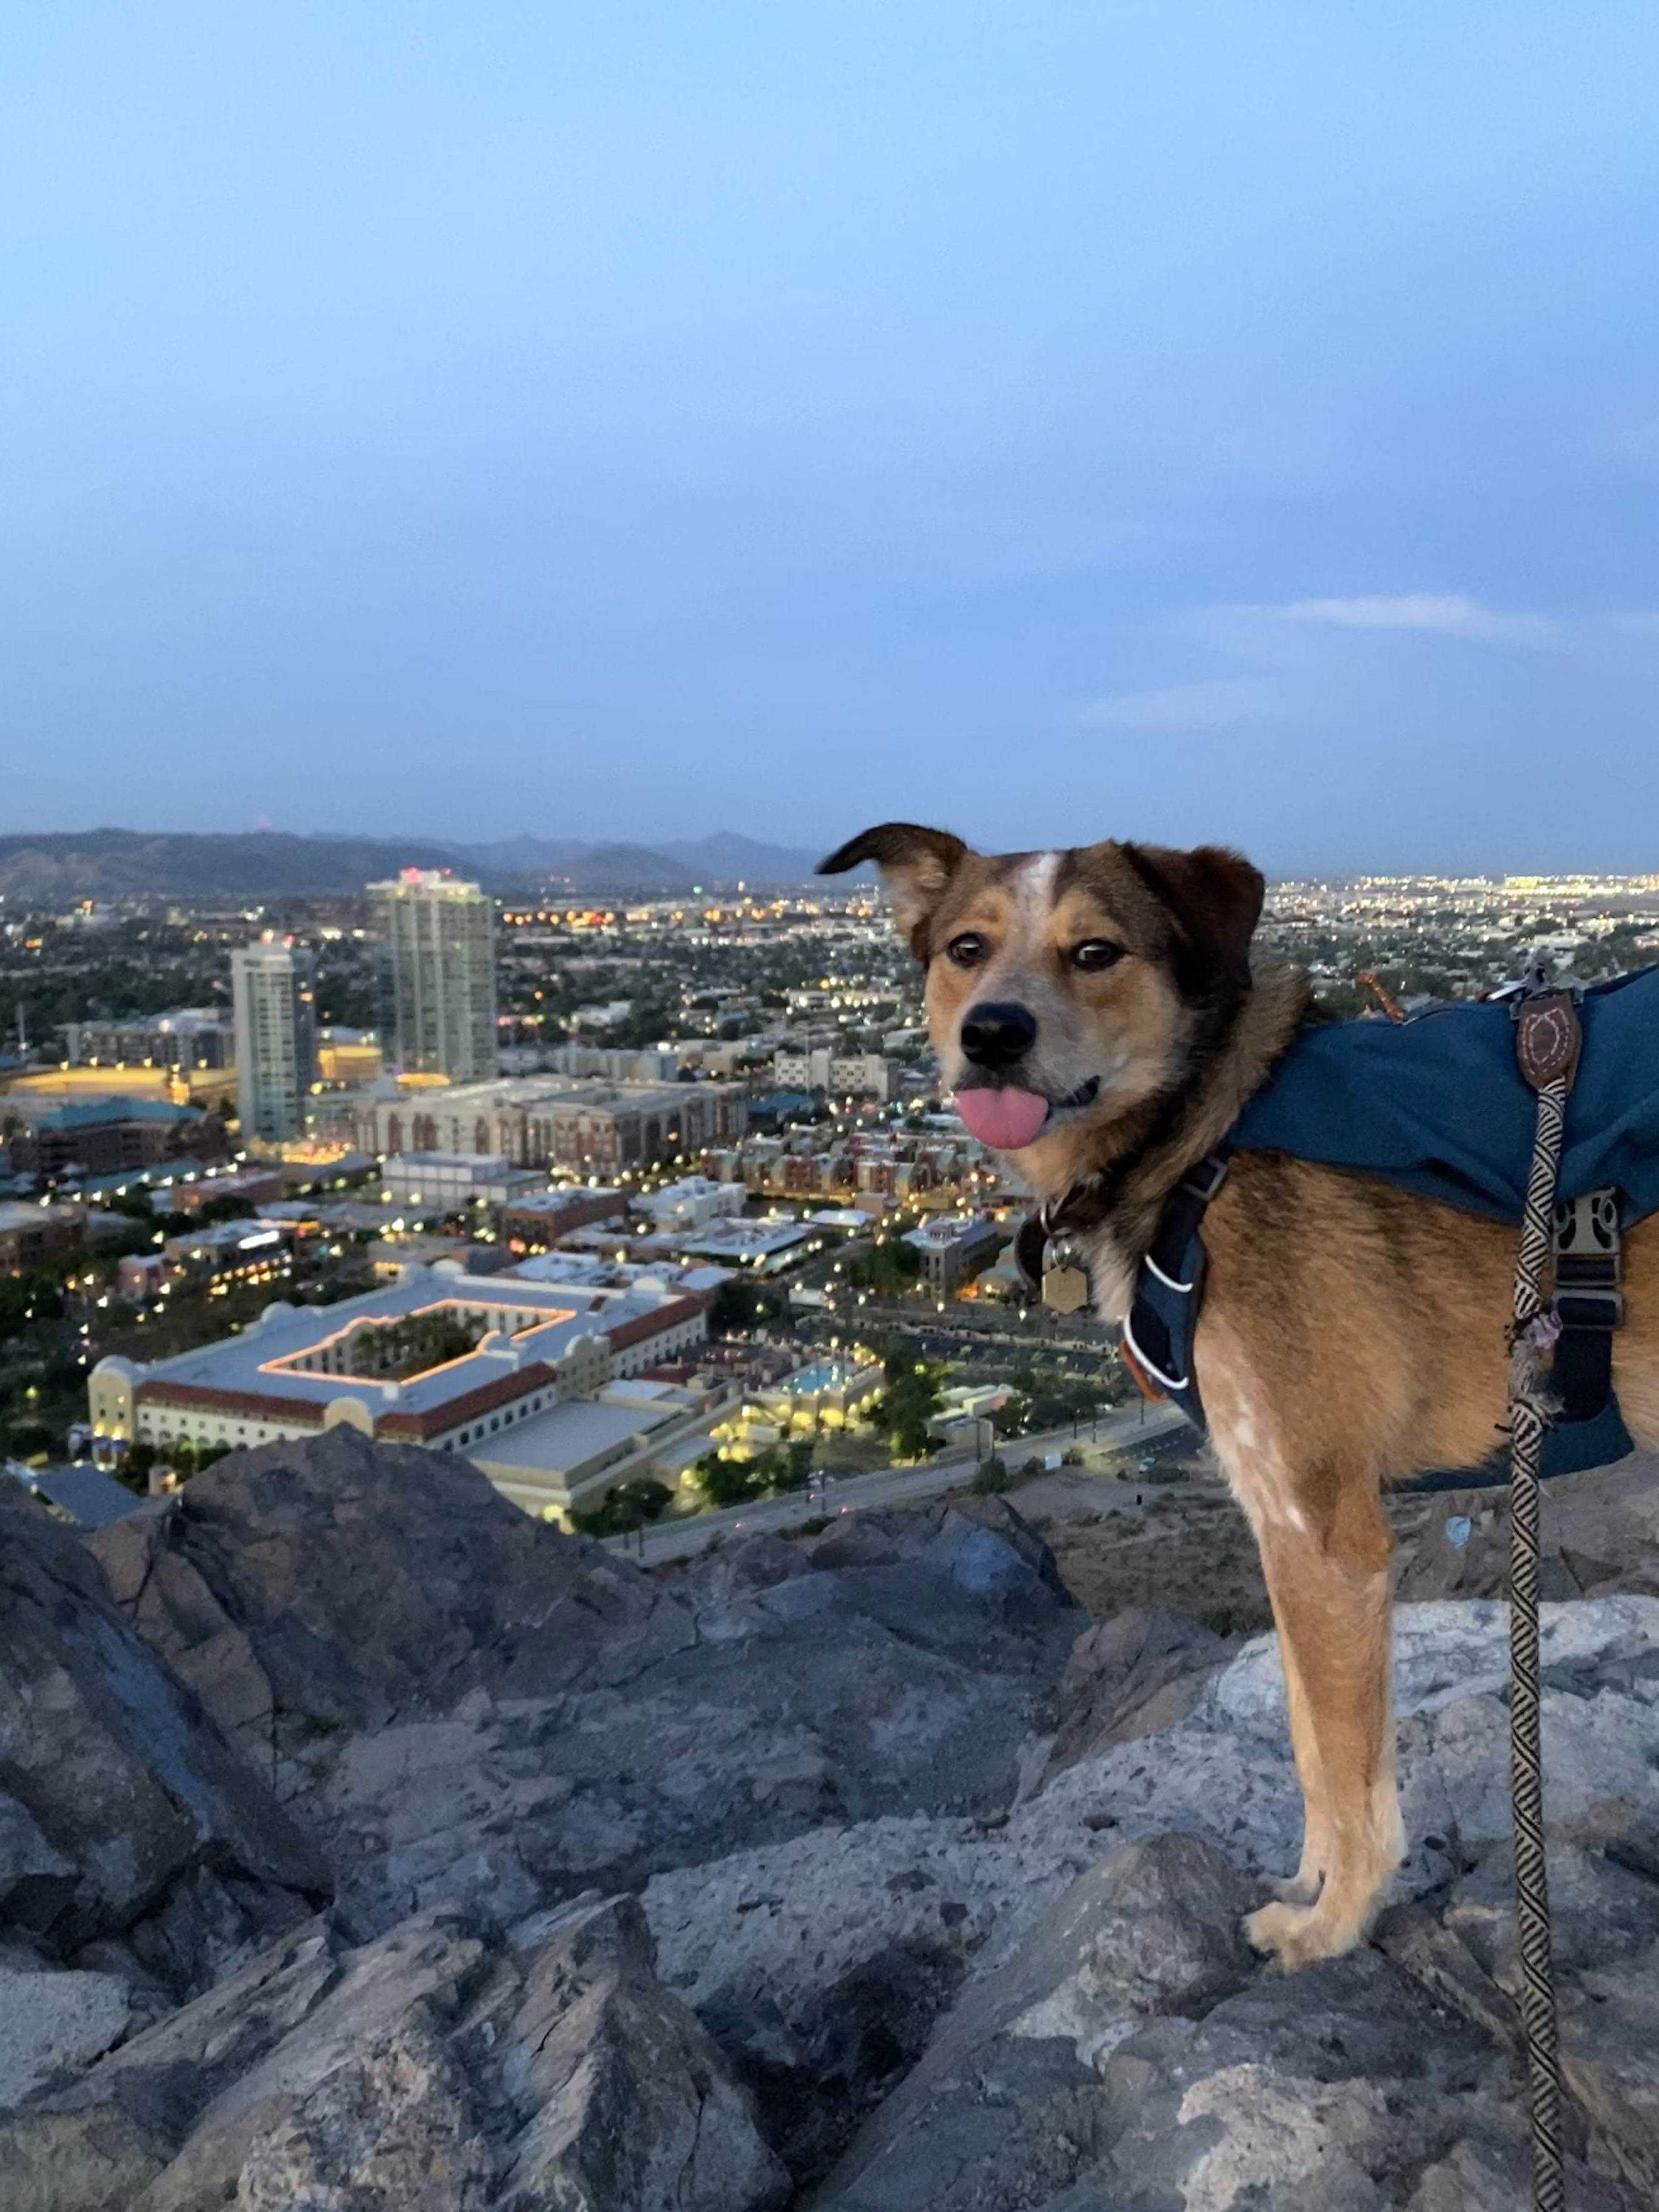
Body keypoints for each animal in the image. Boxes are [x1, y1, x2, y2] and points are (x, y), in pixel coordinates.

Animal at [818, 832, 1659, 1973]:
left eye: (1096, 949)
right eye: (964, 947)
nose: (991, 1033)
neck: (1195, 1142)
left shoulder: (1327, 1530)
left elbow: (1348, 1763)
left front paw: (1331, 1923)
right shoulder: (1275, 1517)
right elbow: (1307, 1735)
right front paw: (1309, 1883)